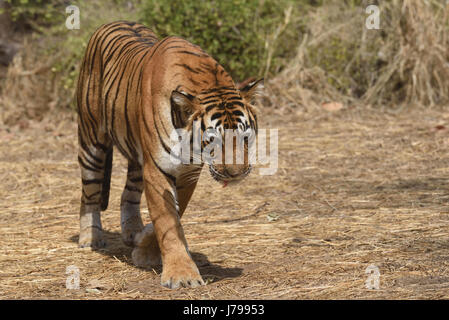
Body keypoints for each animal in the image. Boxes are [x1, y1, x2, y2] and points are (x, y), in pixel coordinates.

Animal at [75, 20, 260, 290]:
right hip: (92, 142)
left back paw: (132, 231)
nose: (235, 174)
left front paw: (145, 248)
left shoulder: (187, 173)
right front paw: (182, 276)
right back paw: (90, 238)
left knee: (128, 194)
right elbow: (168, 223)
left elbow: (175, 214)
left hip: (136, 158)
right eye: (214, 141)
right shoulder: (157, 169)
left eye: (245, 138)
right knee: (89, 193)